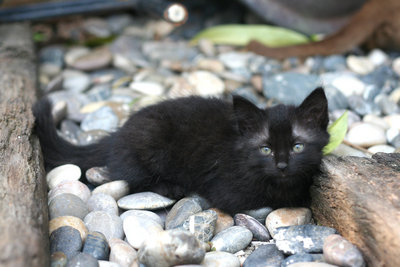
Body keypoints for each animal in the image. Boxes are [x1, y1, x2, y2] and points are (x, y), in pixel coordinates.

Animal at [33, 88, 328, 216]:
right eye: (265, 149)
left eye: (298, 147)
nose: (282, 166)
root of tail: (119, 132)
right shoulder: (228, 190)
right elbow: (271, 199)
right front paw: (297, 197)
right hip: (151, 142)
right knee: (133, 176)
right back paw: (170, 187)